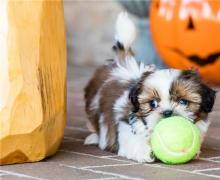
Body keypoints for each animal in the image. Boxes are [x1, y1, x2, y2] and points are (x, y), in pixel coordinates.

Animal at [83, 11, 216, 162]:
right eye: (153, 103)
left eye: (183, 101)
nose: (167, 112)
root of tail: (122, 63)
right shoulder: (125, 127)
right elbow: (133, 141)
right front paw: (144, 151)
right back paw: (94, 137)